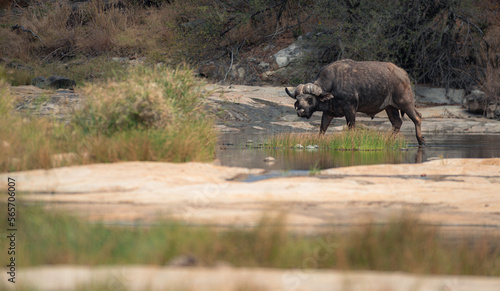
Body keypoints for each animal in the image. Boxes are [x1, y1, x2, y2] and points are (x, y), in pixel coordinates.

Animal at [286, 59, 426, 146]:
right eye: (298, 100)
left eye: (310, 99)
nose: (300, 112)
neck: (334, 84)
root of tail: (404, 74)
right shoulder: (328, 112)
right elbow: (322, 128)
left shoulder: (350, 109)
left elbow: (351, 127)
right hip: (390, 107)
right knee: (397, 123)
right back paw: (388, 141)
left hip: (405, 103)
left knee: (417, 117)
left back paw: (421, 141)